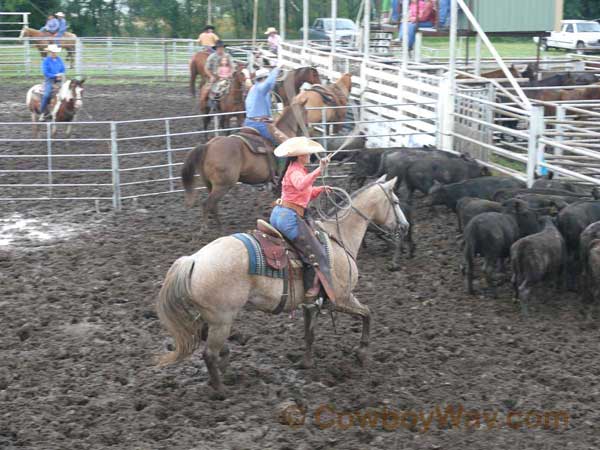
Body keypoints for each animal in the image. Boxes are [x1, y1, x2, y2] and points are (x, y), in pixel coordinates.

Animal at [155, 178, 408, 400]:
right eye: (395, 201)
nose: (405, 226)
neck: (340, 238)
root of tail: (194, 259)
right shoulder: (341, 298)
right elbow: (367, 313)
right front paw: (362, 353)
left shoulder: (311, 305)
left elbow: (310, 333)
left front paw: (306, 363)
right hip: (222, 319)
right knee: (209, 353)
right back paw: (221, 391)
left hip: (211, 317)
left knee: (204, 338)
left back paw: (224, 364)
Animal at [180, 100, 308, 230]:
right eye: (306, 112)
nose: (307, 128)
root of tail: (208, 146)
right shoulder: (282, 176)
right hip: (223, 185)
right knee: (207, 204)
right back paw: (205, 229)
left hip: (210, 184)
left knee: (213, 205)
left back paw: (220, 227)